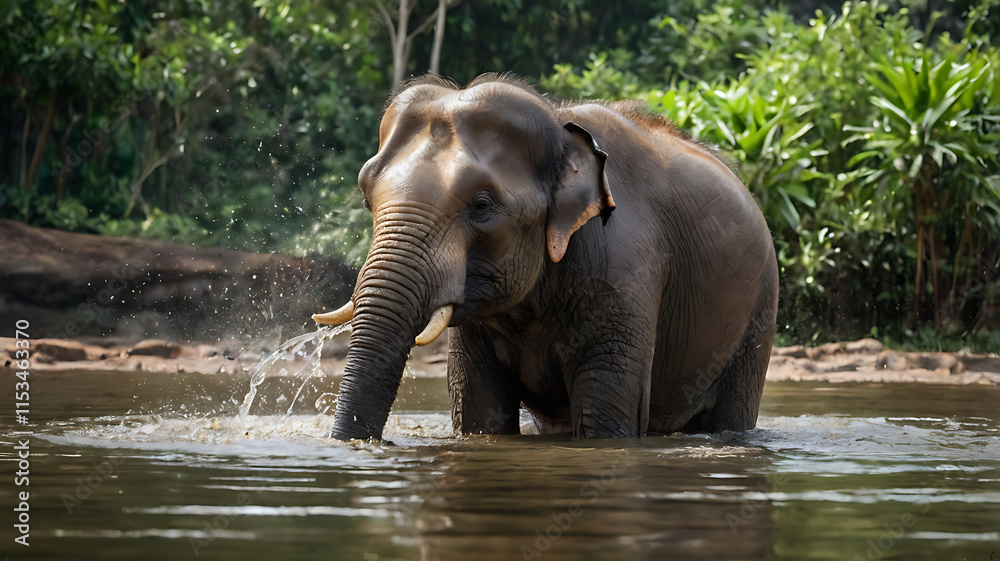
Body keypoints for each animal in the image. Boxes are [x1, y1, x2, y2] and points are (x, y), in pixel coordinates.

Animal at [314, 73, 778, 441]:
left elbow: (606, 420)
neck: (560, 129)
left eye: (482, 206)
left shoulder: (625, 268)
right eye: (366, 193)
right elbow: (479, 414)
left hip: (758, 312)